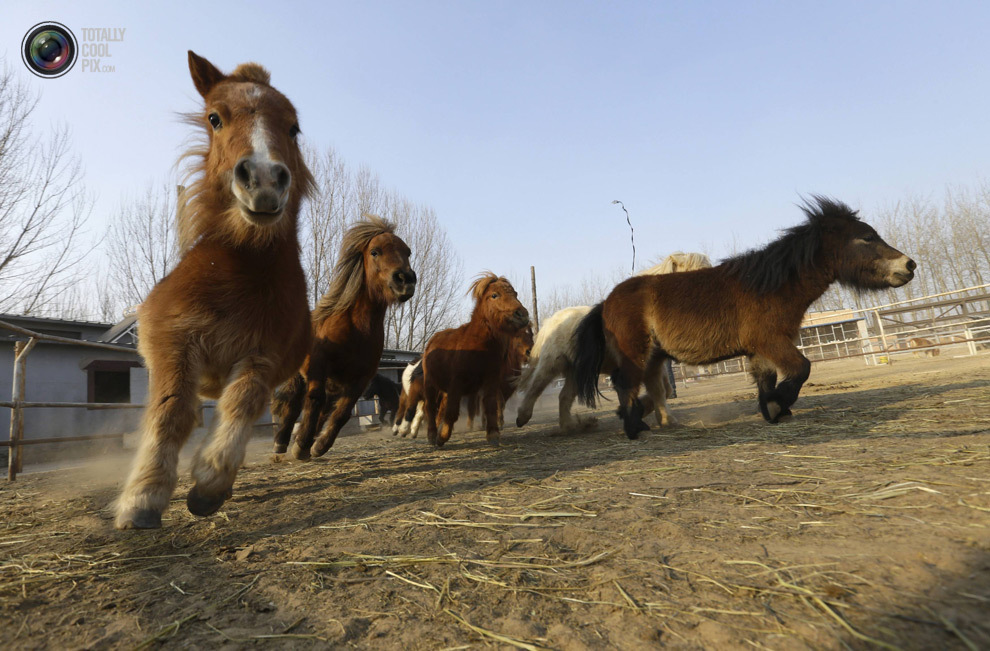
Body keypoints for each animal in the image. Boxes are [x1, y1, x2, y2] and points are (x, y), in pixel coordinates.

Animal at [113, 51, 316, 528]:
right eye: (215, 118)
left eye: (294, 127)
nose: (263, 179)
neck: (238, 273)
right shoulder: (173, 341)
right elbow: (171, 412)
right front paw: (142, 498)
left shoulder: (264, 354)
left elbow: (241, 404)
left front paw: (209, 482)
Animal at [272, 216, 414, 460]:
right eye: (375, 252)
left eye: (408, 252)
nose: (405, 280)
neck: (356, 329)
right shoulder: (318, 365)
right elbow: (314, 400)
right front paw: (301, 445)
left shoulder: (360, 379)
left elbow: (342, 413)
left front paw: (318, 445)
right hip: (302, 377)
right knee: (295, 404)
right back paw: (282, 443)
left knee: (324, 409)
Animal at [426, 272, 536, 448]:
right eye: (494, 295)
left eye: (515, 293)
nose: (522, 314)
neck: (478, 345)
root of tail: (433, 340)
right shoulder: (457, 383)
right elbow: (452, 412)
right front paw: (441, 437)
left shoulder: (491, 382)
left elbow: (491, 406)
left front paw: (493, 434)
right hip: (430, 384)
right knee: (431, 408)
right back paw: (432, 435)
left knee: (441, 408)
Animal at [512, 253, 712, 432]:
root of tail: (551, 321)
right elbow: (659, 390)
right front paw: (665, 419)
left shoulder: (654, 364)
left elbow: (665, 390)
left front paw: (652, 414)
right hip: (552, 364)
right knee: (536, 387)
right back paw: (522, 417)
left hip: (576, 372)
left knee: (564, 397)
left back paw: (572, 426)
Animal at [576, 197, 920, 438]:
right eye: (866, 238)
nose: (909, 265)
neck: (769, 286)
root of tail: (606, 301)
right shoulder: (771, 341)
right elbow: (801, 368)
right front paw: (780, 403)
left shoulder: (760, 351)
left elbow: (766, 381)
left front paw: (773, 411)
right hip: (636, 354)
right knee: (626, 386)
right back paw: (634, 429)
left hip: (655, 357)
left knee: (645, 389)